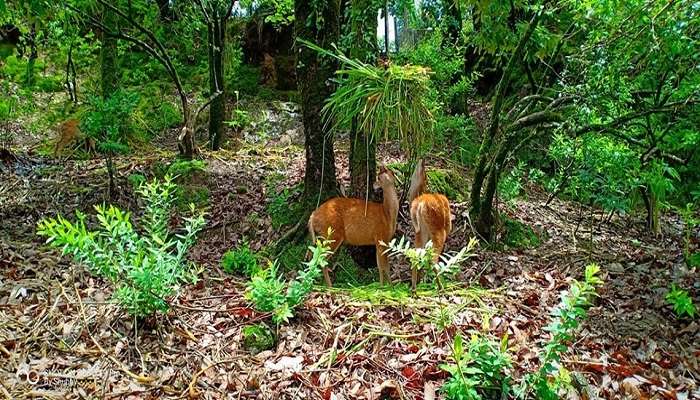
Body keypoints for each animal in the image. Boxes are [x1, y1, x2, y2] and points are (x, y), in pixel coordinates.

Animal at [408, 159, 452, 294]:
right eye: (426, 176)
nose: (421, 159)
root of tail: (419, 203)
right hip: (437, 231)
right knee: (433, 259)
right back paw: (440, 287)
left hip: (420, 232)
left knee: (415, 254)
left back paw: (414, 288)